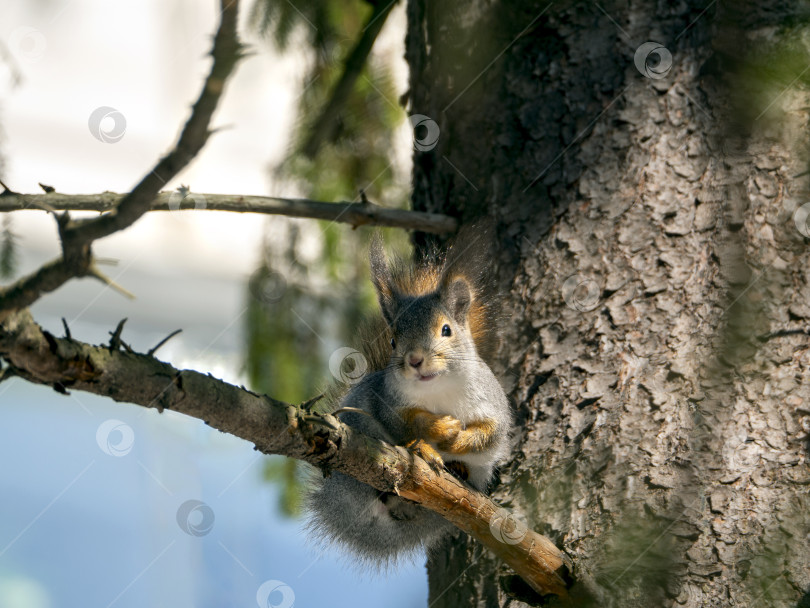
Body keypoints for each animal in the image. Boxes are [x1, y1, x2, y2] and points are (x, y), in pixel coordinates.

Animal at [306, 226, 508, 568]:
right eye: (392, 340)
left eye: (446, 330)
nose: (414, 359)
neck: (438, 388)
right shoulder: (386, 401)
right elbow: (405, 425)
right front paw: (436, 432)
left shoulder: (493, 404)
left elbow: (491, 434)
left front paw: (458, 440)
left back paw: (457, 469)